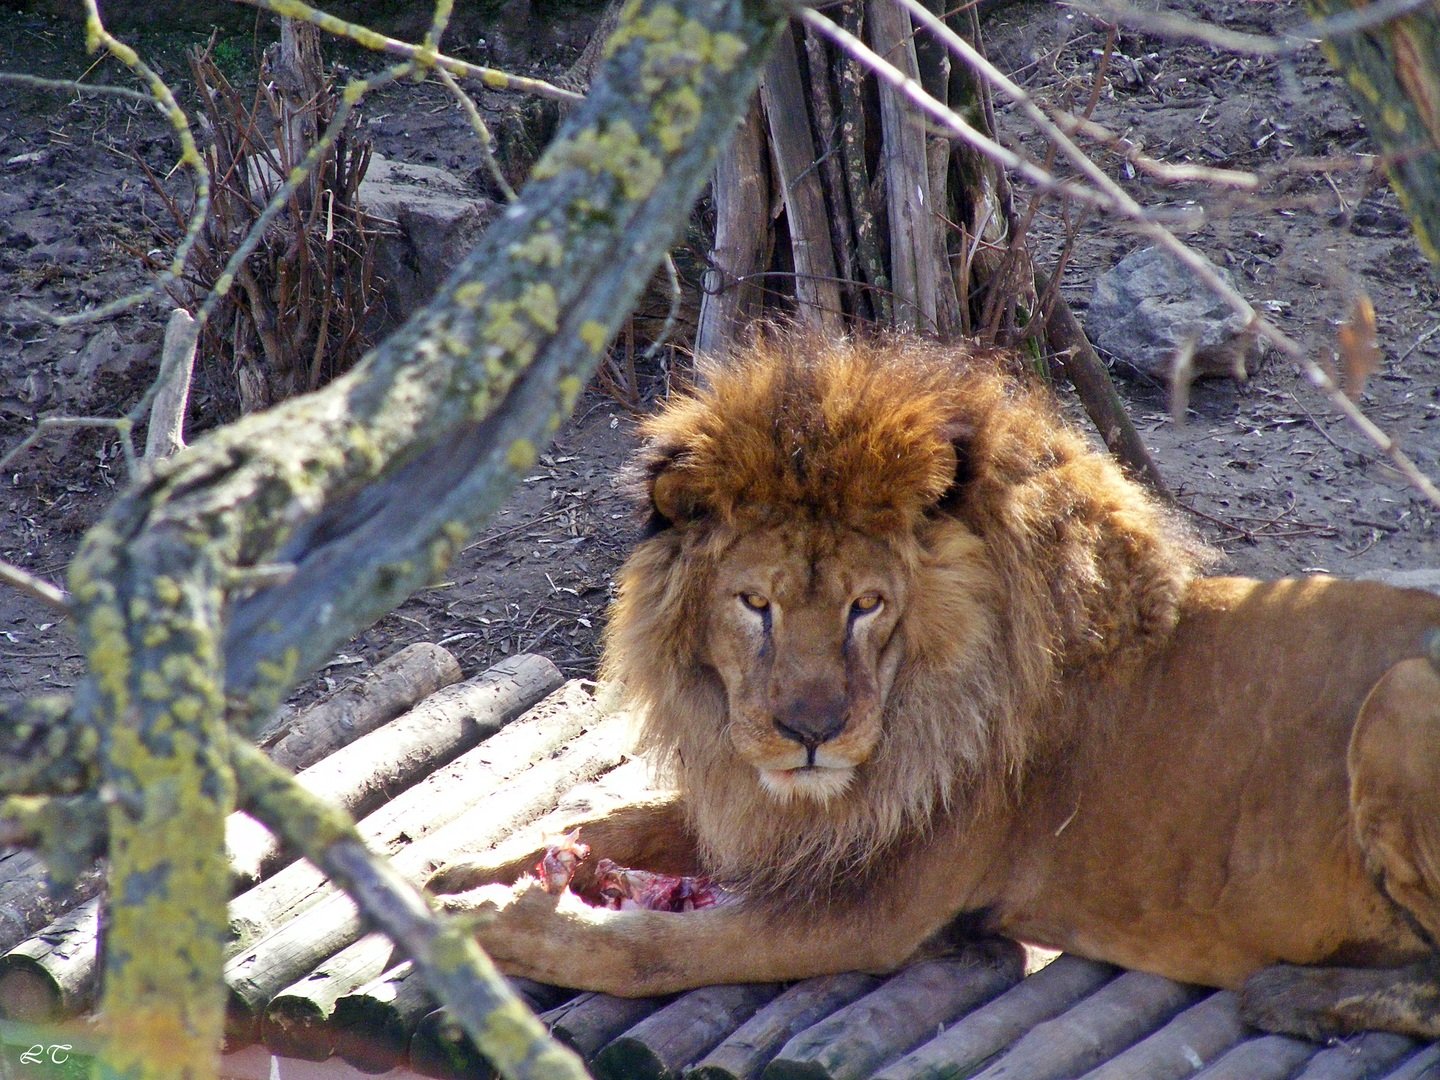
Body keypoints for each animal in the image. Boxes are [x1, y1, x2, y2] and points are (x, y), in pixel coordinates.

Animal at [432, 336, 1440, 1042]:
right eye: (755, 604)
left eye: (866, 606)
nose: (811, 734)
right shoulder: (792, 819)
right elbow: (621, 821)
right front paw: (476, 869)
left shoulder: (872, 909)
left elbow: (649, 950)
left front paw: (497, 923)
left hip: (1401, 693)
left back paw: (1292, 994)